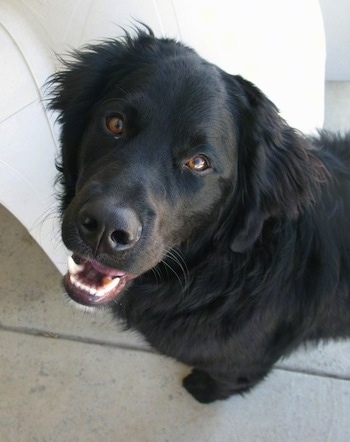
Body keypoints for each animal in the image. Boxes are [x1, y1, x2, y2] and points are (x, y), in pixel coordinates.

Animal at [47, 25, 350, 402]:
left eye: (198, 162)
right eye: (115, 124)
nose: (104, 227)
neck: (221, 273)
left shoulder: (242, 365)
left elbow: (228, 380)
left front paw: (203, 389)